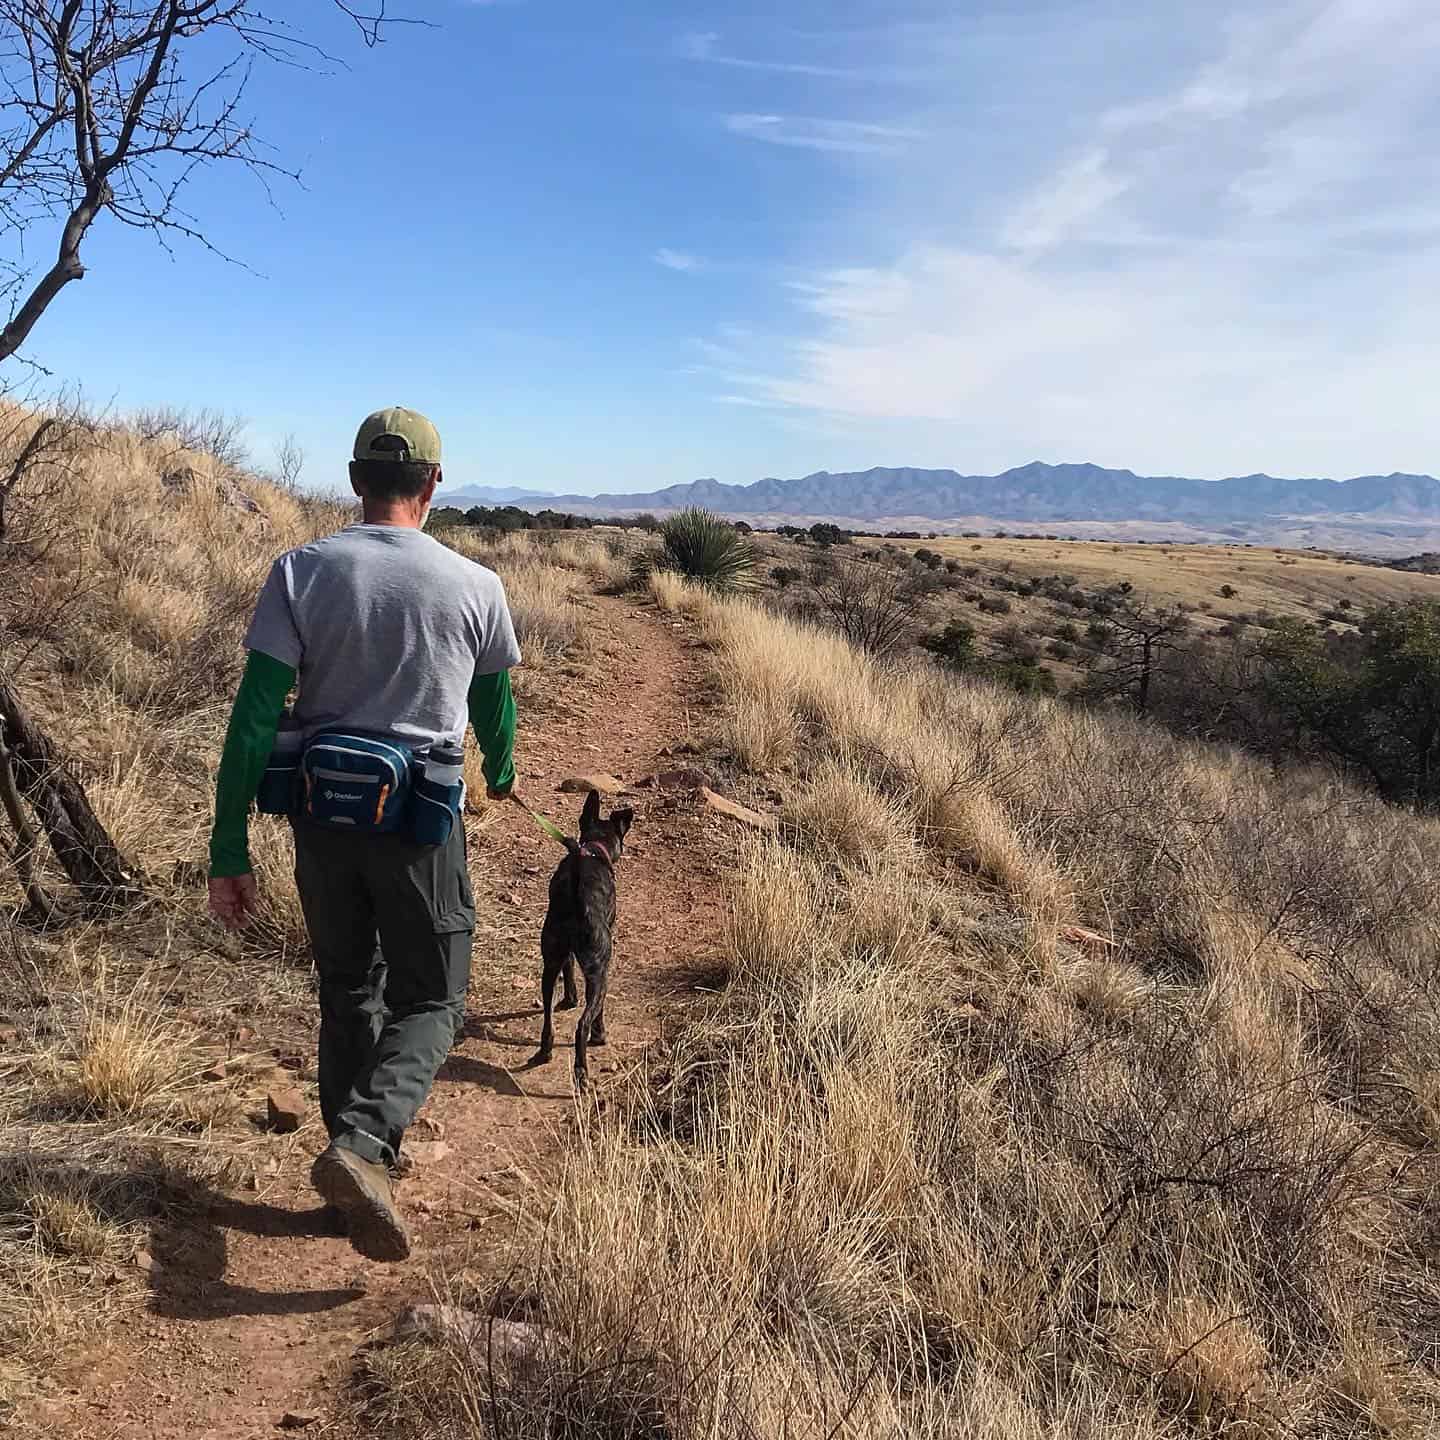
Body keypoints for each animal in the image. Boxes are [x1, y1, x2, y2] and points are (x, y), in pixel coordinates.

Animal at [532, 794, 633, 1082]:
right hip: (600, 974)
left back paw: (545, 1051)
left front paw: (570, 998)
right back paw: (584, 1065)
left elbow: (568, 970)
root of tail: (578, 900)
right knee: (583, 1024)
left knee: (547, 1014)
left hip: (550, 960)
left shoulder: (563, 957)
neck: (593, 849)